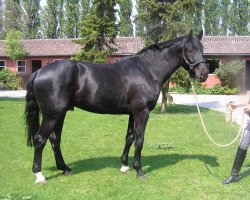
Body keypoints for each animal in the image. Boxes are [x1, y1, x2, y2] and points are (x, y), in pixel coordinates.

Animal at [25, 29, 209, 183]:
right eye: (189, 49)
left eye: (202, 48)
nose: (204, 74)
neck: (147, 70)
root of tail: (39, 72)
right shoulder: (142, 112)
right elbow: (139, 140)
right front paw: (139, 171)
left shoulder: (132, 113)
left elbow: (129, 137)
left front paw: (125, 166)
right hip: (52, 115)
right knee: (40, 139)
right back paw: (39, 175)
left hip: (60, 114)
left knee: (55, 139)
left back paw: (65, 169)